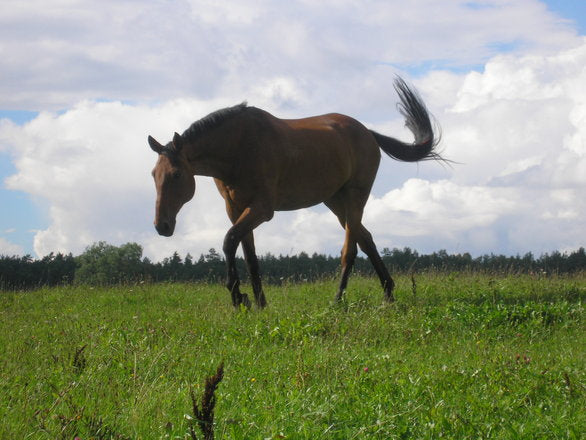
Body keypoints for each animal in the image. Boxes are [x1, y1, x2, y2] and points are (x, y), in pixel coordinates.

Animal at [148, 77, 440, 308]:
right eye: (153, 174)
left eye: (176, 175)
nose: (162, 226)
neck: (238, 147)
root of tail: (367, 132)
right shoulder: (235, 209)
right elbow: (249, 256)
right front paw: (259, 303)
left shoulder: (262, 209)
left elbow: (229, 241)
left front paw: (237, 296)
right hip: (336, 201)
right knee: (366, 239)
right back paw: (388, 294)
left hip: (356, 196)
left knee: (350, 250)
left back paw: (338, 301)